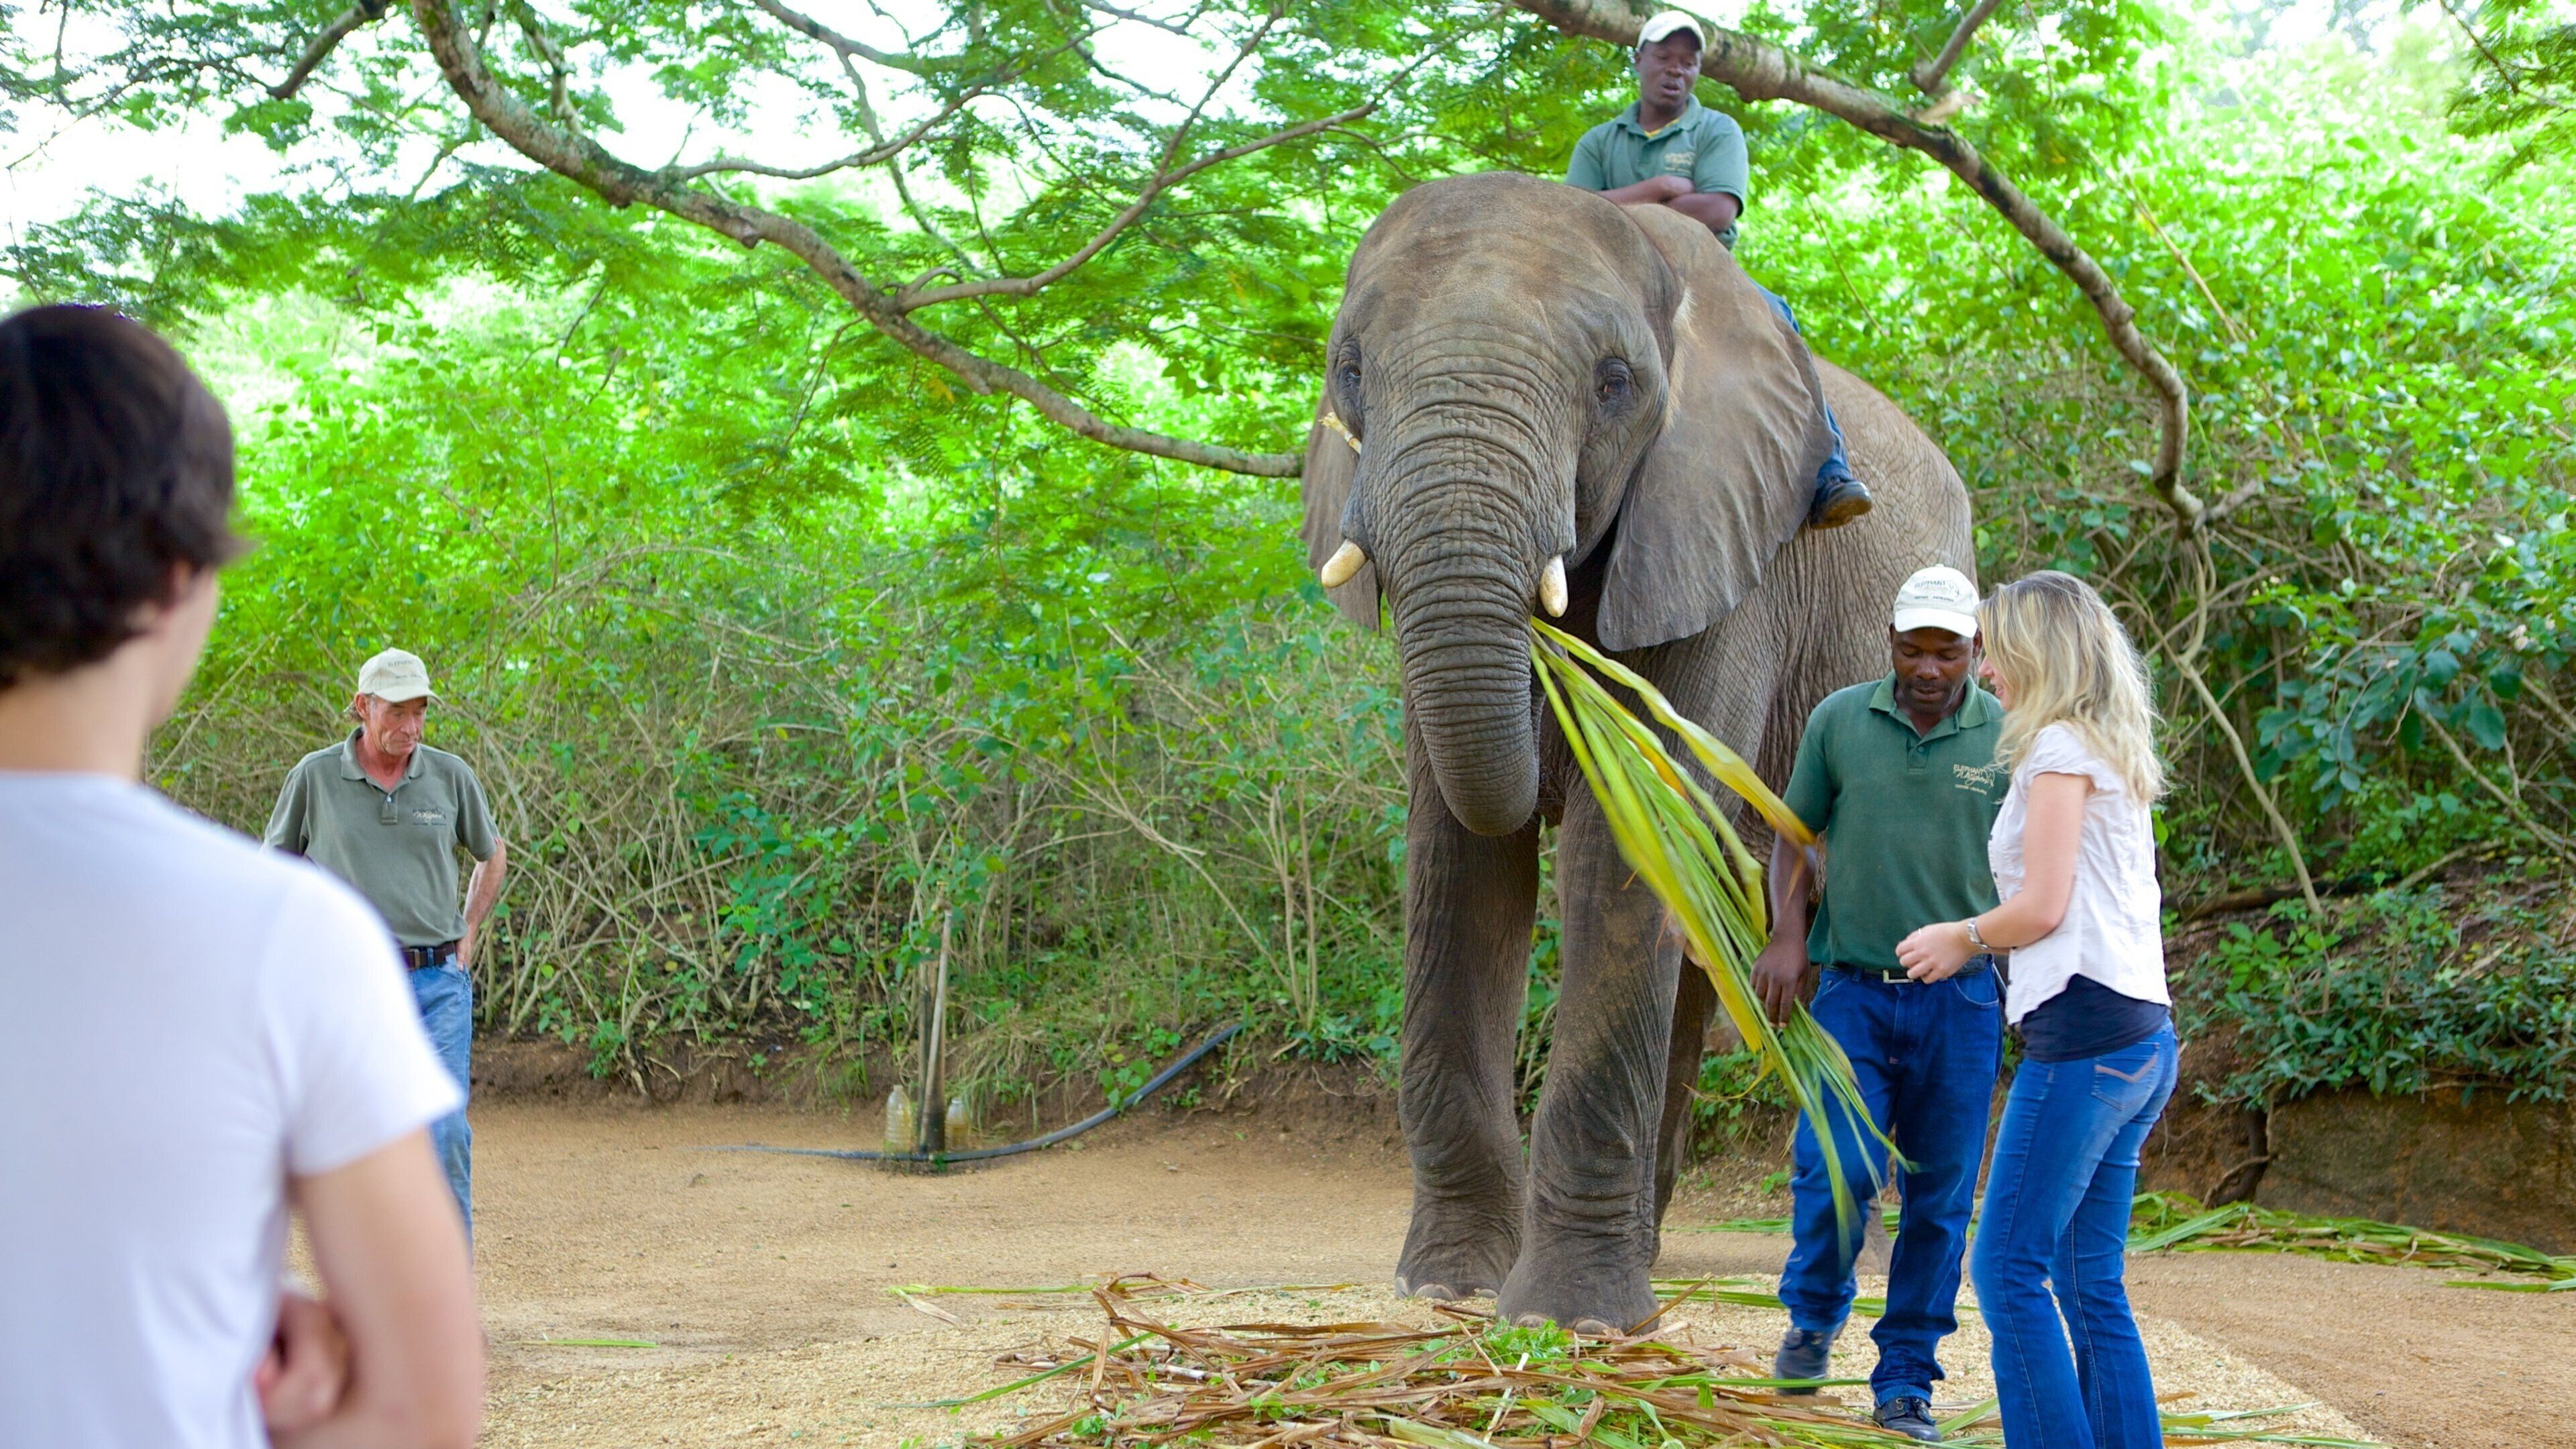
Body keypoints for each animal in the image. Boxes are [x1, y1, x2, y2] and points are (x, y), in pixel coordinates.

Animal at [1298, 171, 1975, 1332]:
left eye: (1614, 385)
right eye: (1349, 372)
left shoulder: (1724, 546)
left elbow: (1619, 854)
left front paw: (1568, 1319)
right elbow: (1461, 864)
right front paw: (1450, 1286)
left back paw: (1878, 1265)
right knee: (1706, 955)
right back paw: (1653, 1254)